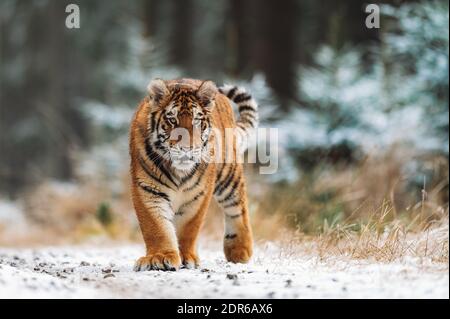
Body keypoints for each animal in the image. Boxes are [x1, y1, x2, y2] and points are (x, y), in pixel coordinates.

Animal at [128, 77, 258, 270]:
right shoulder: (147, 190)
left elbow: (189, 227)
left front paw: (185, 257)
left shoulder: (199, 194)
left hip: (228, 176)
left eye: (196, 120)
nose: (187, 148)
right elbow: (156, 226)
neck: (178, 172)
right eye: (172, 120)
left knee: (237, 207)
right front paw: (160, 256)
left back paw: (240, 251)